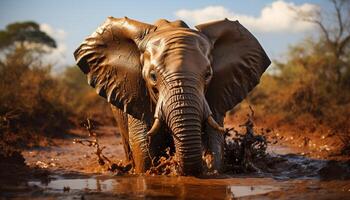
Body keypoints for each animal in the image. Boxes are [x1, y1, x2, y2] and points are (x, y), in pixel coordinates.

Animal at [74, 16, 270, 175]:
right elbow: (142, 150)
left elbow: (215, 142)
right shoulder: (136, 92)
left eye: (208, 75)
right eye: (153, 76)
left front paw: (210, 168)